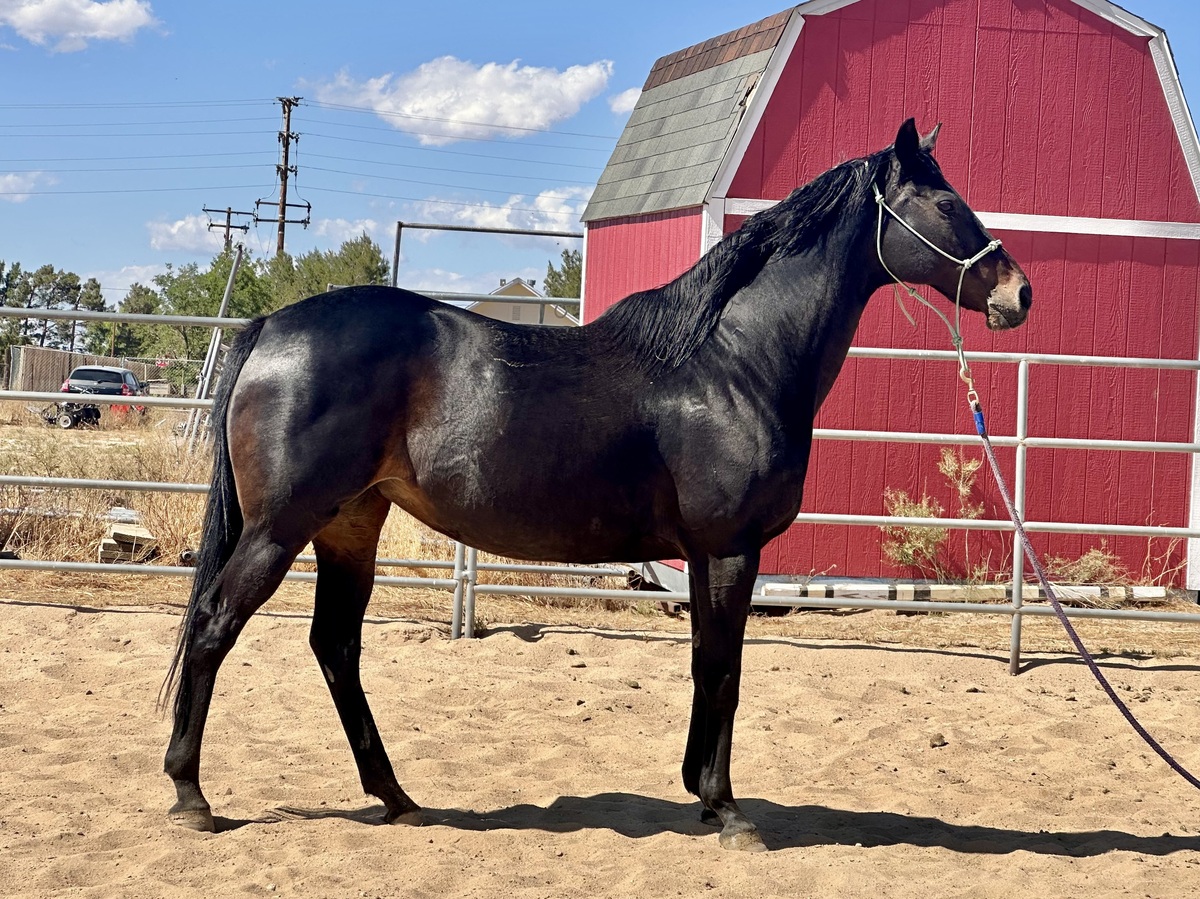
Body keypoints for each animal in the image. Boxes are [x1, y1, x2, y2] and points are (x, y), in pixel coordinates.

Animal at [162, 119, 1031, 852]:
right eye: (946, 202)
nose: (1016, 292)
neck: (732, 362)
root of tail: (272, 327)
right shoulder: (730, 549)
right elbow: (725, 670)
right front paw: (728, 809)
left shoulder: (701, 557)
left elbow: (705, 663)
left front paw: (701, 792)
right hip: (281, 528)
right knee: (213, 626)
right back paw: (192, 794)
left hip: (350, 526)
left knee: (335, 646)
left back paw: (398, 796)